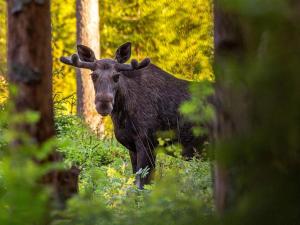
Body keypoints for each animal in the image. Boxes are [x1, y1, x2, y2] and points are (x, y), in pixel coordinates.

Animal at [61, 42, 206, 188]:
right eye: (93, 75)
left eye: (117, 76)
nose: (103, 104)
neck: (122, 117)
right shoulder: (132, 146)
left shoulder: (147, 142)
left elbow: (142, 184)